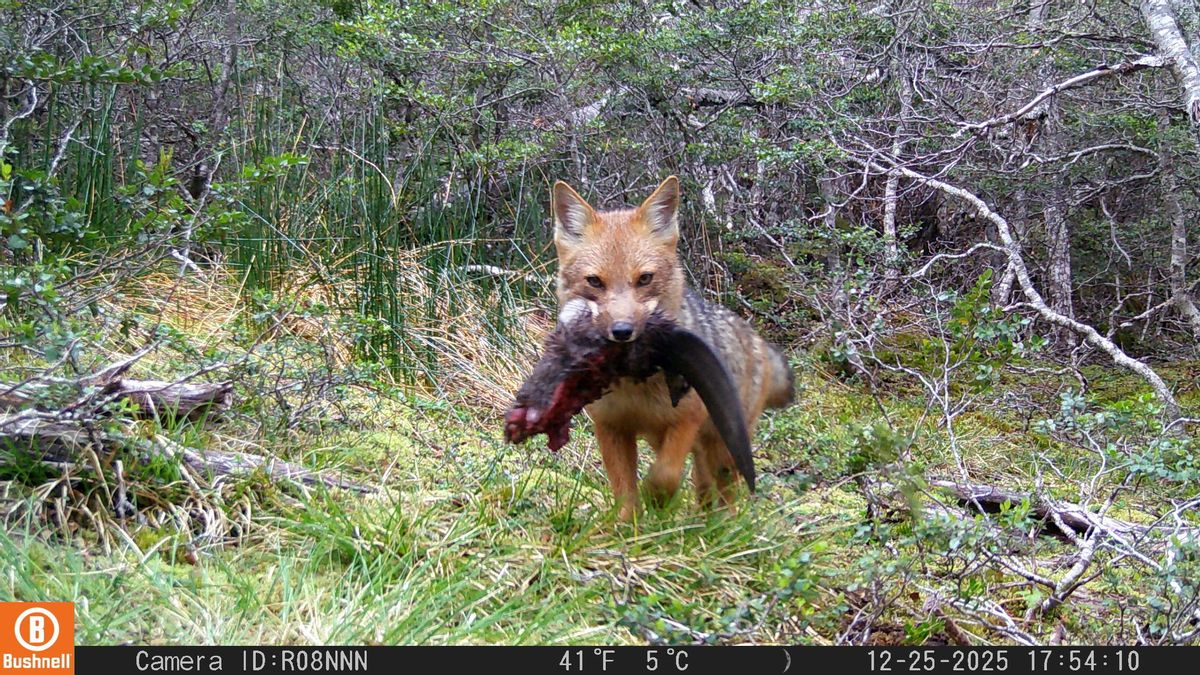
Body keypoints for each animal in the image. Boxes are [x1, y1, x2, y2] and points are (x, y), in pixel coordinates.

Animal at [550, 175, 794, 520]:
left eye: (644, 279)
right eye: (595, 282)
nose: (622, 331)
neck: (635, 388)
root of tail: (757, 340)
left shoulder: (686, 420)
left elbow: (664, 475)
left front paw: (658, 499)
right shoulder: (611, 427)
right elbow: (625, 496)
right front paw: (629, 528)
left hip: (722, 449)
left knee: (726, 496)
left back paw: (722, 527)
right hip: (691, 449)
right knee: (704, 488)